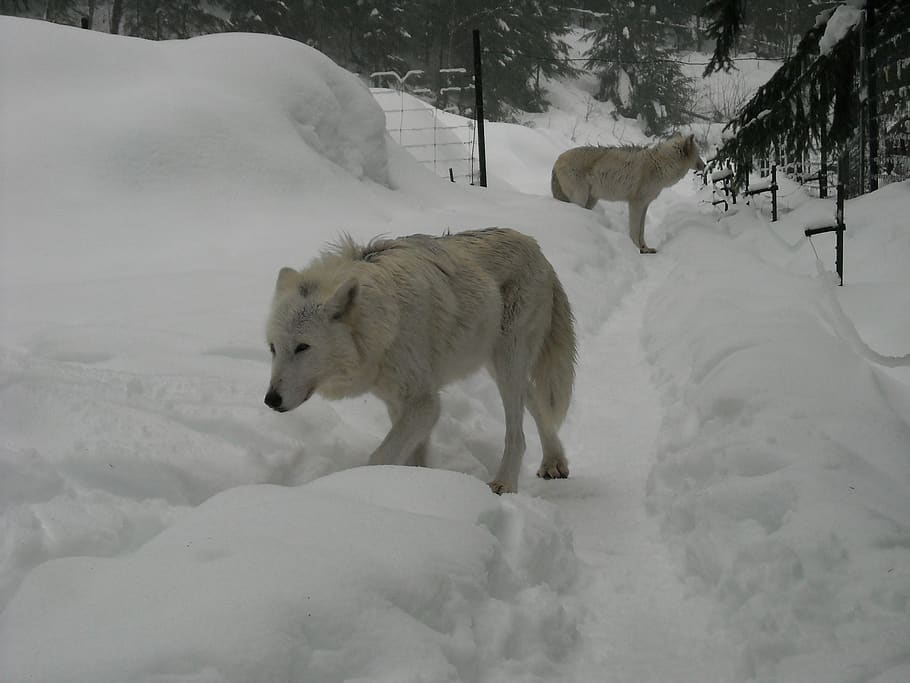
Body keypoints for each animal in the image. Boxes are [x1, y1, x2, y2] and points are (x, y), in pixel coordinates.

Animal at [264, 228, 577, 494]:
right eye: (273, 348)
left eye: (302, 347)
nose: (270, 400)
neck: (383, 322)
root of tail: (532, 244)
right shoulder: (397, 403)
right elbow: (414, 458)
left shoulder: (424, 403)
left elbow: (380, 456)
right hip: (497, 364)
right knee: (536, 401)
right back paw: (554, 462)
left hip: (507, 362)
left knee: (518, 434)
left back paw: (505, 484)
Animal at [551, 133, 705, 253]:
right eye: (698, 154)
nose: (705, 166)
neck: (661, 165)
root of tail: (557, 159)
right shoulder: (635, 204)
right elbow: (635, 230)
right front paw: (637, 249)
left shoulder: (645, 205)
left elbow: (642, 231)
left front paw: (646, 249)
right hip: (581, 197)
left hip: (591, 200)